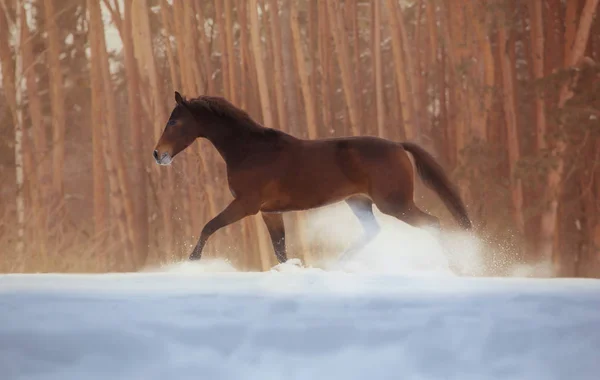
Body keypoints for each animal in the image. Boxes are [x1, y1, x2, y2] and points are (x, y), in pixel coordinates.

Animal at [152, 91, 472, 264]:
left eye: (174, 121)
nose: (158, 154)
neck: (250, 150)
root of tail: (397, 145)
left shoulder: (246, 205)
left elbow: (208, 226)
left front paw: (191, 263)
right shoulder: (269, 212)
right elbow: (280, 251)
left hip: (394, 203)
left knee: (434, 223)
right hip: (359, 201)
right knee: (374, 231)